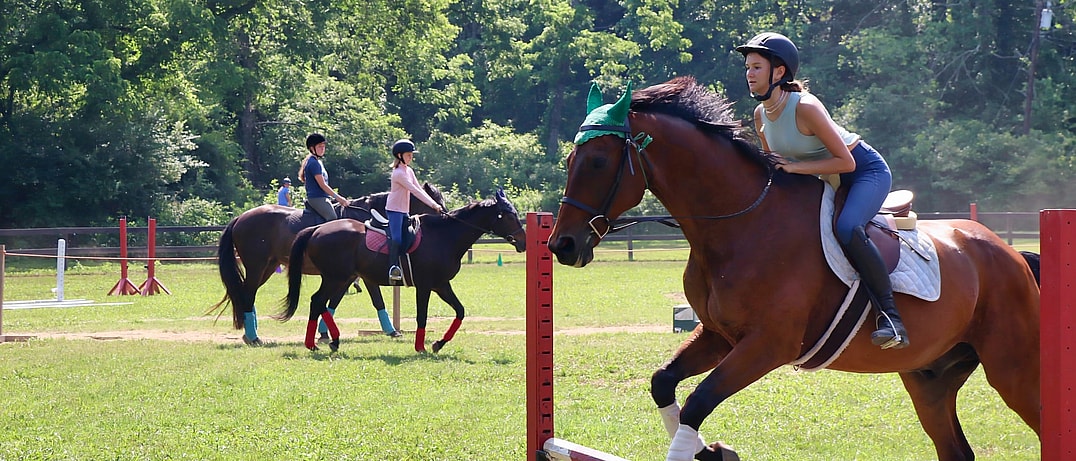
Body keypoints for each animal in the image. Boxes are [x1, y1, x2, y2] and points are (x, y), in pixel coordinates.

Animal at [209, 182, 445, 344]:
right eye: (435, 202)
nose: (445, 215)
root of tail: (240, 218)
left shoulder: (351, 274)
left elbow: (339, 301)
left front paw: (323, 332)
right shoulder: (356, 274)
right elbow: (370, 299)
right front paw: (391, 330)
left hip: (266, 266)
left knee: (246, 293)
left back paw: (250, 332)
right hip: (257, 265)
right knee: (247, 293)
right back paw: (253, 335)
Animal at [273, 189, 525, 355]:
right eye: (508, 215)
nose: (523, 242)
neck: (444, 236)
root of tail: (317, 229)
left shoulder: (441, 285)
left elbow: (460, 311)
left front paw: (438, 344)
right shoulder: (425, 286)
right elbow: (422, 316)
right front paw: (421, 346)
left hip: (340, 278)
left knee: (320, 302)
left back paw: (328, 341)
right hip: (336, 277)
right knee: (318, 301)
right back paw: (316, 343)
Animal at [550, 77, 1037, 458]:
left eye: (598, 161)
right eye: (570, 161)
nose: (562, 245)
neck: (741, 223)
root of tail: (1010, 254)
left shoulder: (767, 345)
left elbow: (698, 402)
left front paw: (712, 451)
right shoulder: (719, 336)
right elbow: (664, 383)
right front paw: (714, 450)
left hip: (1013, 370)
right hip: (930, 378)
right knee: (956, 448)